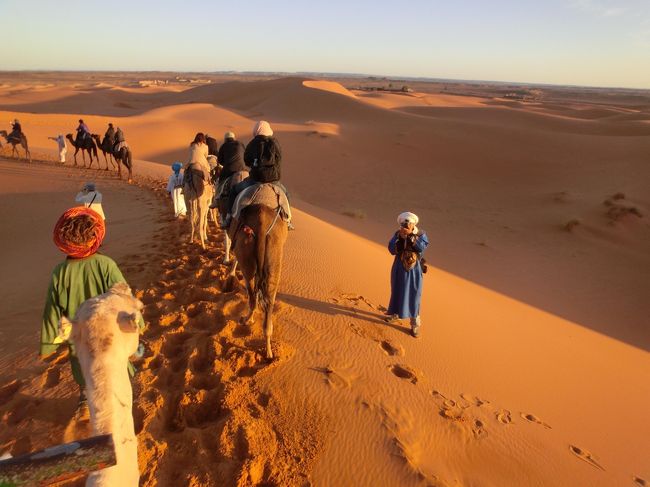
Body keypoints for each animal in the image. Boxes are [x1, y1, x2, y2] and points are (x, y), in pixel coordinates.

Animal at [229, 204, 288, 360]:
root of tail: (262, 224)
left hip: (246, 251)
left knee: (252, 297)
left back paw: (245, 320)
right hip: (274, 258)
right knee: (268, 303)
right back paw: (269, 352)